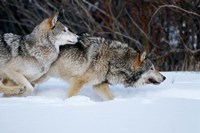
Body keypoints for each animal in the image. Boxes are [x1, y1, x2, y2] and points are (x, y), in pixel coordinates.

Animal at [30, 34, 166, 100]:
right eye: (152, 68)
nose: (164, 77)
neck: (113, 61)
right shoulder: (78, 81)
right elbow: (69, 97)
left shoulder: (99, 85)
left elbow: (111, 98)